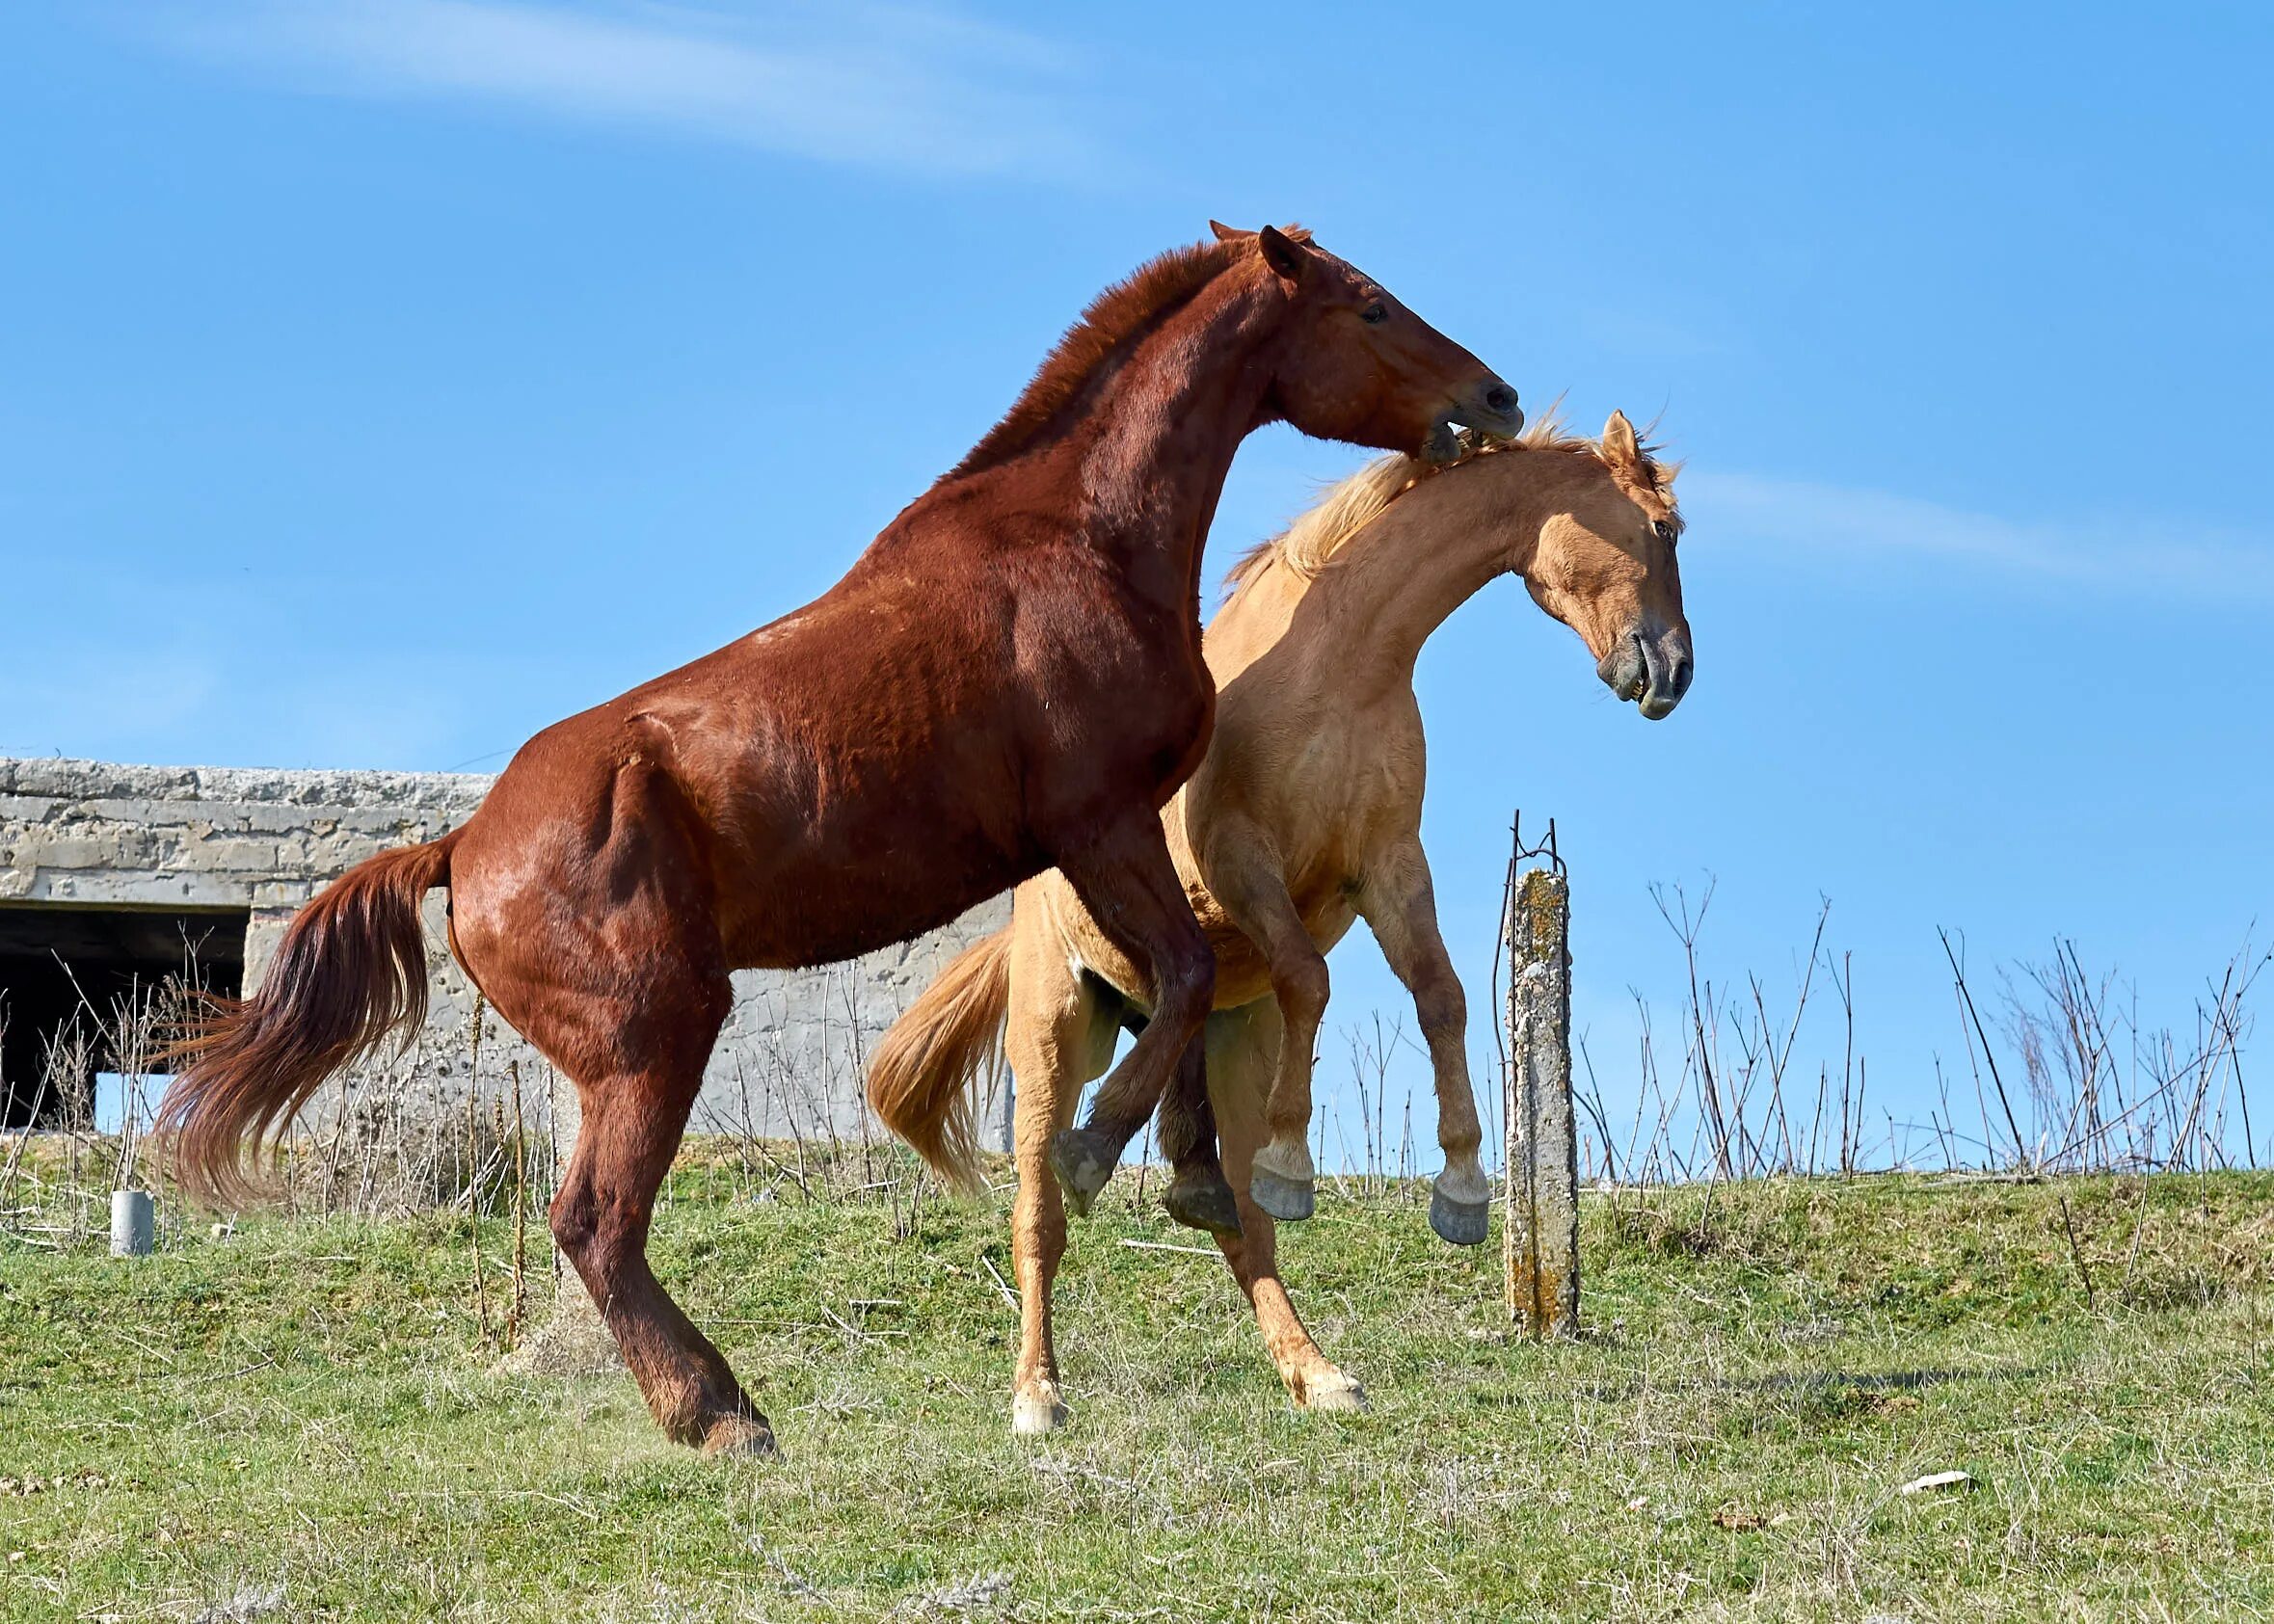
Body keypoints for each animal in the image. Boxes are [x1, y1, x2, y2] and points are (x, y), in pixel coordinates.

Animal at [155, 222, 1510, 1446]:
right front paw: (1095, 1148)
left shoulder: (1113, 844)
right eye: (1371, 304)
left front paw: (1192, 1172)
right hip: (658, 1035)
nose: (1491, 395)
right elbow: (1174, 976)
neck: (1077, 540)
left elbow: (1174, 988)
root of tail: (462, 848)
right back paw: (719, 1414)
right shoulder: (1099, 822)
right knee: (594, 1220)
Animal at [869, 407, 1692, 1428]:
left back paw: (1314, 1366)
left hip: (1229, 1039)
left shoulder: (1388, 866)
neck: (1337, 663)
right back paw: (1039, 1388)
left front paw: (1460, 1190)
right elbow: (1311, 973)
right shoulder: (1241, 860)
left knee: (1241, 1221)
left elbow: (1441, 995)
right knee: (1040, 1216)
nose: (1673, 672)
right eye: (1663, 529)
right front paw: (1301, 1158)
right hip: (1054, 1029)